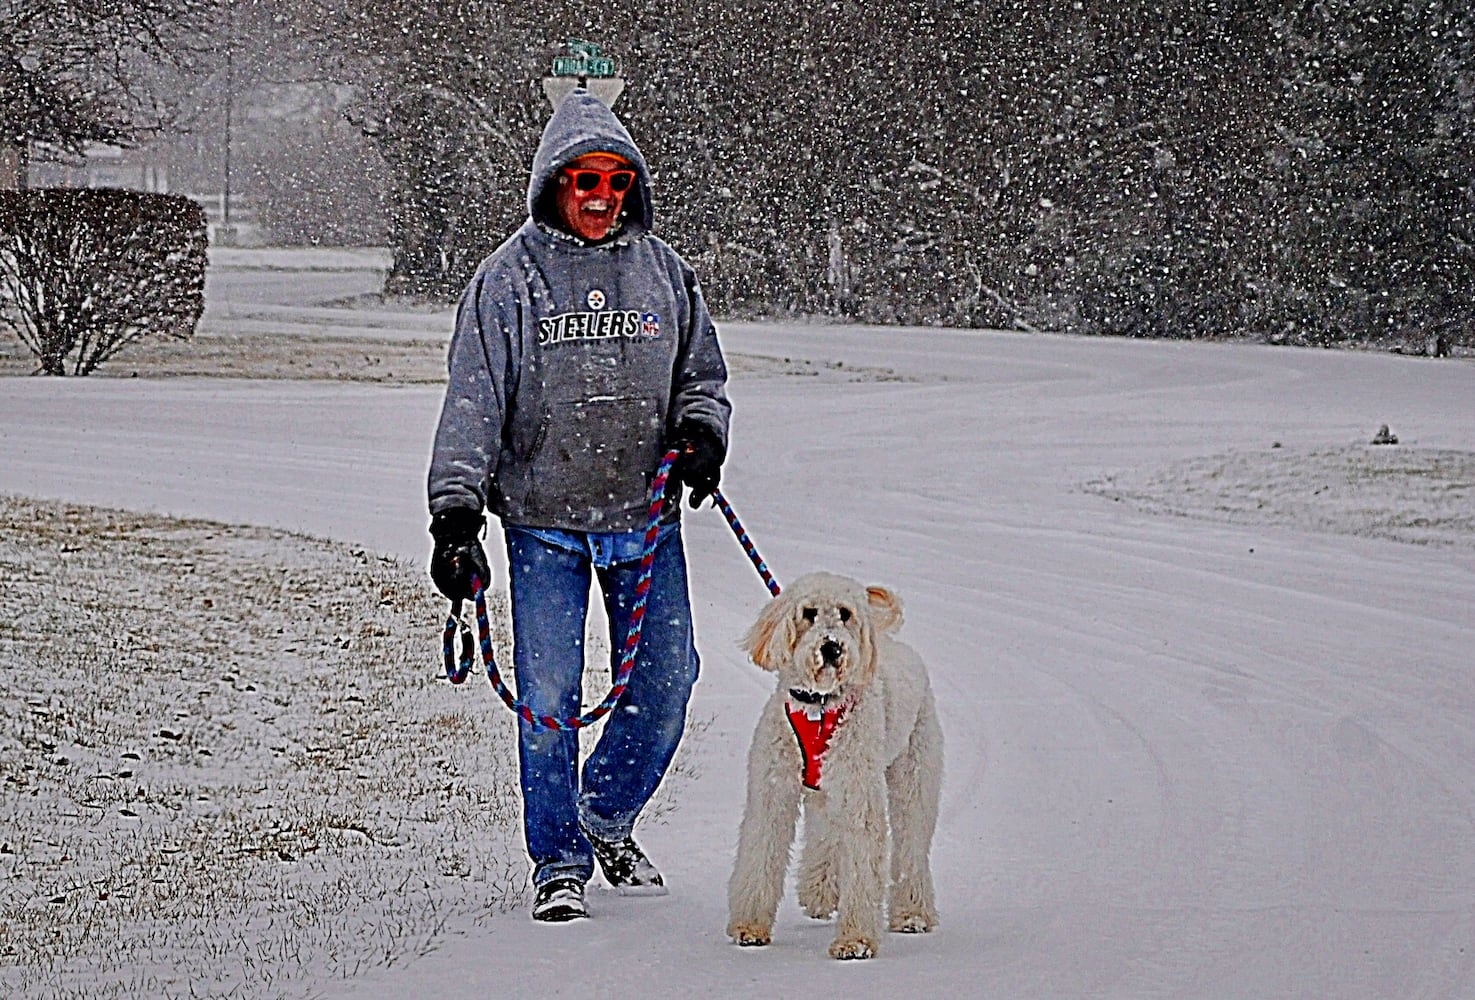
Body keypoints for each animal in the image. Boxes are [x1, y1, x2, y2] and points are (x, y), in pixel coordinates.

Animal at [725, 572, 944, 961]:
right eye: (808, 613)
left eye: (845, 613)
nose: (832, 647)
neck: (819, 705)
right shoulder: (773, 790)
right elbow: (761, 852)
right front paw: (749, 927)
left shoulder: (859, 796)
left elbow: (861, 863)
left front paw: (855, 941)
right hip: (824, 790)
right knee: (824, 835)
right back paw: (819, 894)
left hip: (914, 773)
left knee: (911, 842)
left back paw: (912, 914)